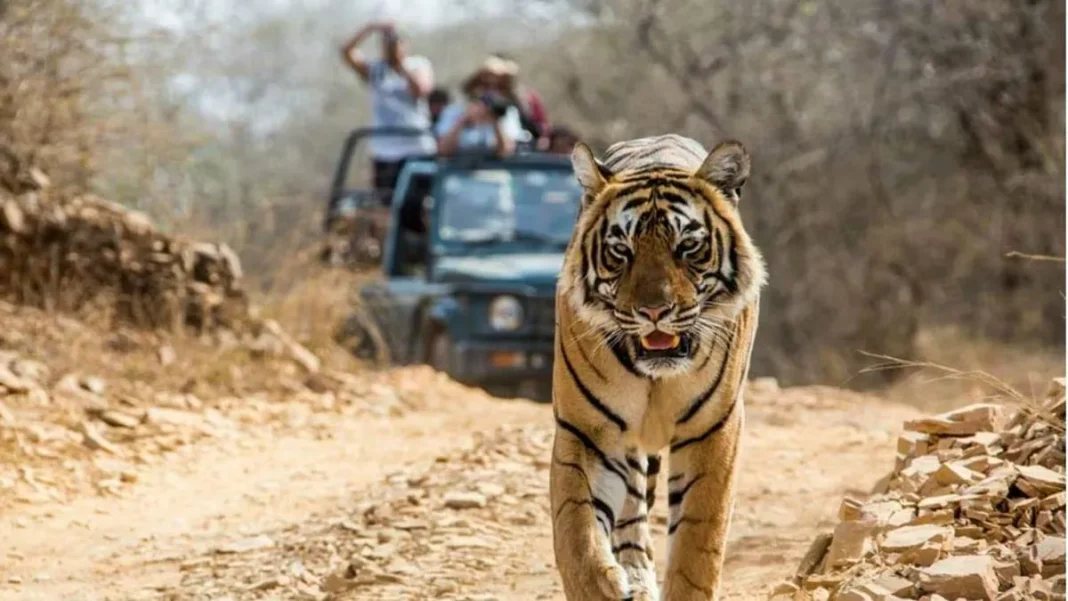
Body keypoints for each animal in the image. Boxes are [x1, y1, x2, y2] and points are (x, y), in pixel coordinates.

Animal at [551, 133, 768, 597]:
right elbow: (576, 531)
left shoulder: (713, 429)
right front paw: (599, 587)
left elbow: (697, 544)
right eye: (621, 251)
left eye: (687, 247)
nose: (654, 311)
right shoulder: (586, 430)